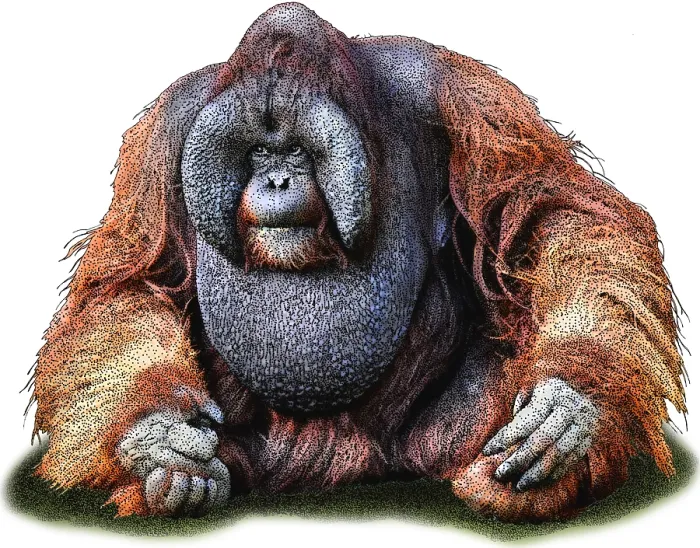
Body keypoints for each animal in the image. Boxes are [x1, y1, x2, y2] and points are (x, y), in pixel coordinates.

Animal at [28, 2, 686, 522]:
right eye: (258, 152)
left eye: (295, 150)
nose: (275, 178)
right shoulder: (168, 132)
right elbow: (133, 280)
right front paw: (158, 439)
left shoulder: (451, 89)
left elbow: (548, 212)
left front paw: (565, 410)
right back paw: (173, 480)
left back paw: (509, 486)